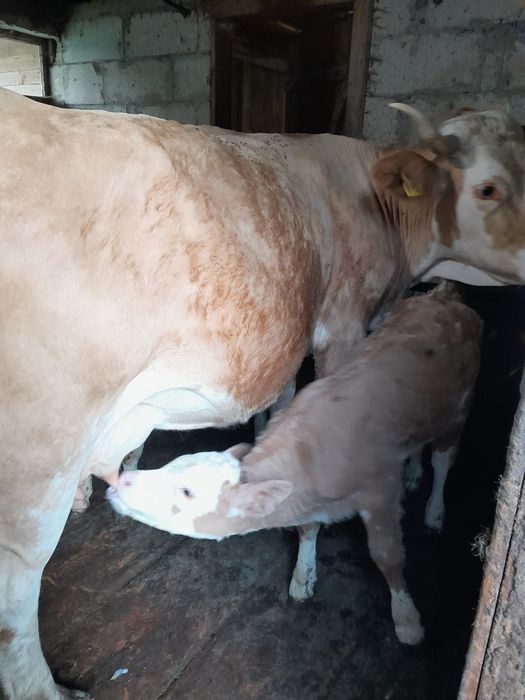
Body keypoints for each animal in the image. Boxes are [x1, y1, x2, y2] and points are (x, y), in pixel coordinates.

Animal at [107, 286, 482, 645]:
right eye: (174, 464)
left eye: (187, 491)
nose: (122, 481)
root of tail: (441, 297)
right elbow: (307, 530)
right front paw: (303, 576)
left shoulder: (380, 494)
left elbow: (387, 555)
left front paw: (406, 619)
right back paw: (415, 472)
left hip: (459, 410)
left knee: (443, 459)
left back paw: (434, 511)